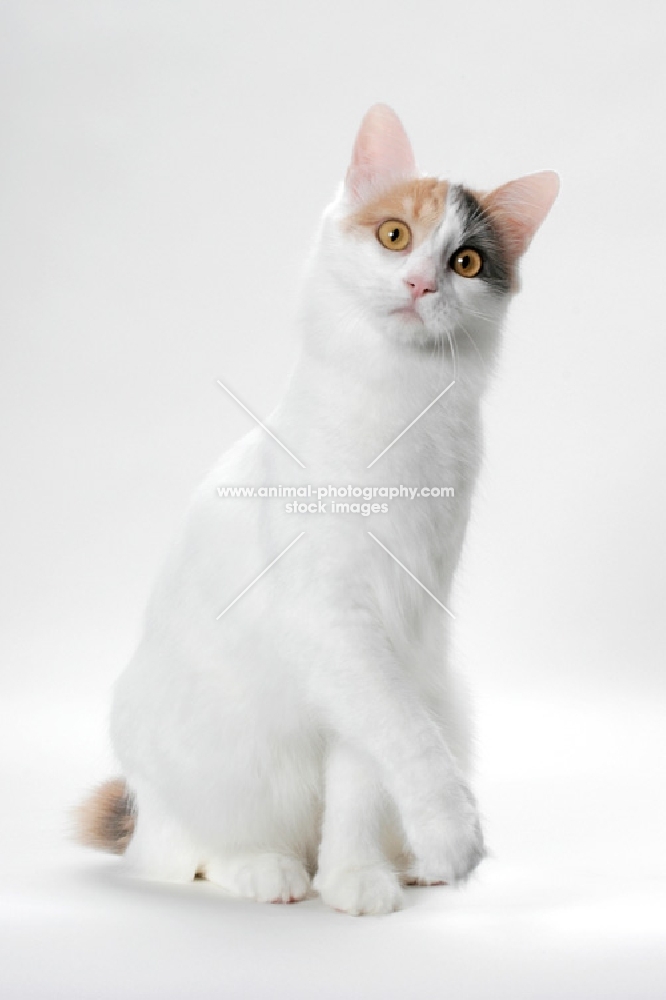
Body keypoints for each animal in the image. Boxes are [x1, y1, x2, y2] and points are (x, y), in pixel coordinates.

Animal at [76, 107, 556, 916]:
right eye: (394, 235)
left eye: (465, 263)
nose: (421, 282)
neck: (399, 410)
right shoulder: (331, 621)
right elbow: (404, 739)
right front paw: (450, 834)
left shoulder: (398, 629)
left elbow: (367, 775)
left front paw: (357, 876)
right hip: (213, 751)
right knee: (183, 850)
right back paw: (262, 870)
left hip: (446, 692)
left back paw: (400, 864)